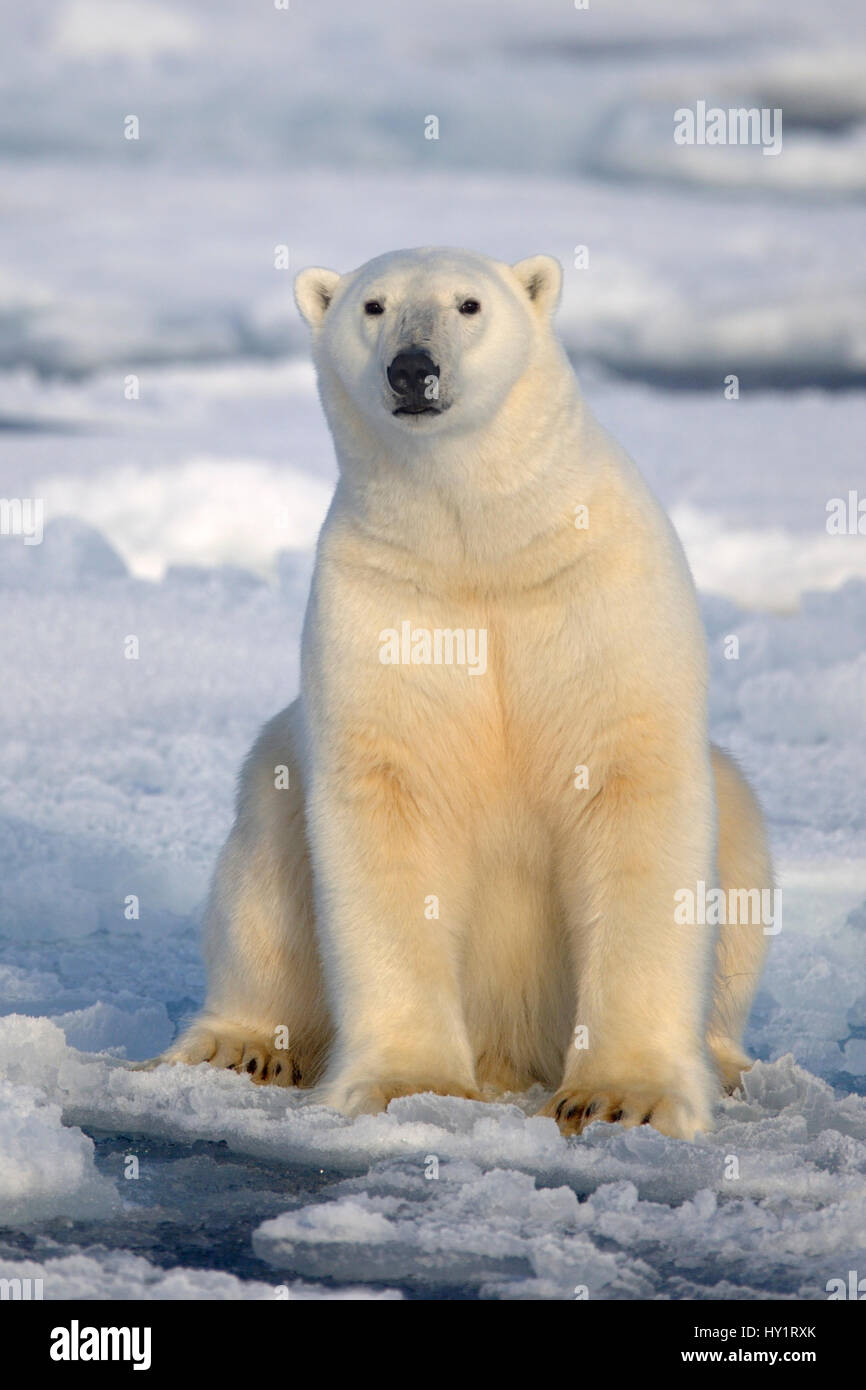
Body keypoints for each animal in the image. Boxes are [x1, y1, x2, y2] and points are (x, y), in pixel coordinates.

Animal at [157, 250, 772, 1139]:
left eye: (469, 304)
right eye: (373, 306)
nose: (413, 369)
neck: (483, 544)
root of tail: (510, 1049)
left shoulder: (599, 592)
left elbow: (632, 797)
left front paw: (621, 1096)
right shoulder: (385, 607)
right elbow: (390, 809)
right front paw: (409, 1083)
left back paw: (724, 1061)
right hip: (272, 794)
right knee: (262, 874)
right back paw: (240, 1046)